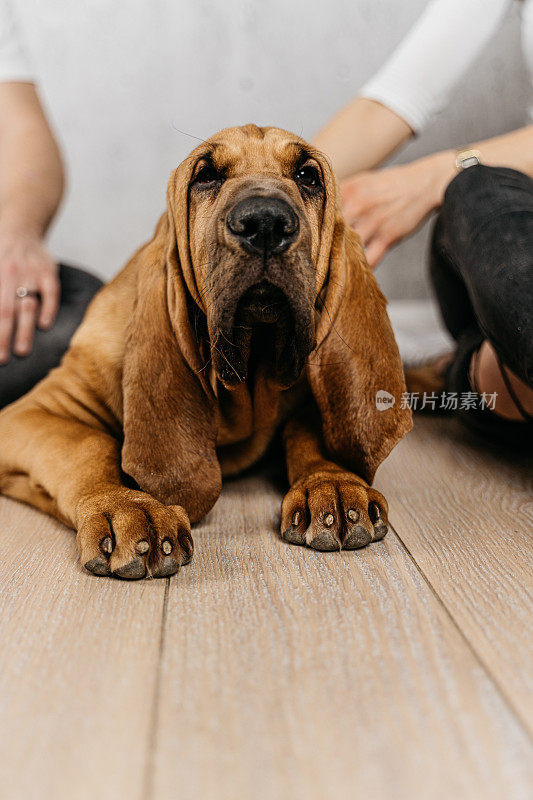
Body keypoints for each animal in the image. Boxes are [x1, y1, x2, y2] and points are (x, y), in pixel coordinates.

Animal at [0, 125, 412, 580]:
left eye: (308, 175)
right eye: (206, 175)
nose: (265, 222)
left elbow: (308, 433)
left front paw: (332, 483)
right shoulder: (34, 411)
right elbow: (89, 445)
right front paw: (124, 506)